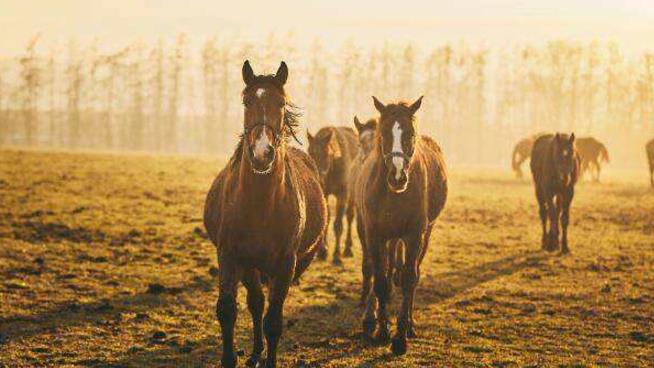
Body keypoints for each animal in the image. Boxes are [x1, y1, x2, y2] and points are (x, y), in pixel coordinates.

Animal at [204, 61, 330, 368]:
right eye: (246, 101)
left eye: (281, 103)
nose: (262, 153)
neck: (259, 205)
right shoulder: (230, 255)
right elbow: (228, 309)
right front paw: (230, 358)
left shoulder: (285, 264)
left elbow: (273, 320)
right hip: (250, 265)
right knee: (256, 302)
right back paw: (254, 353)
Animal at [308, 125, 358, 264]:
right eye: (311, 152)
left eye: (327, 154)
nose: (319, 179)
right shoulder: (324, 193)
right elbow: (327, 218)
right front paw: (323, 251)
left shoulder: (342, 194)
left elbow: (338, 224)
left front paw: (336, 255)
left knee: (350, 216)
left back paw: (347, 249)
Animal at [354, 96, 452, 356]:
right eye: (384, 133)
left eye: (410, 133)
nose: (397, 177)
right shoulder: (375, 234)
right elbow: (380, 280)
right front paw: (381, 330)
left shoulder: (414, 234)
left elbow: (409, 278)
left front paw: (399, 337)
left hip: (425, 233)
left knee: (413, 274)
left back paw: (409, 324)